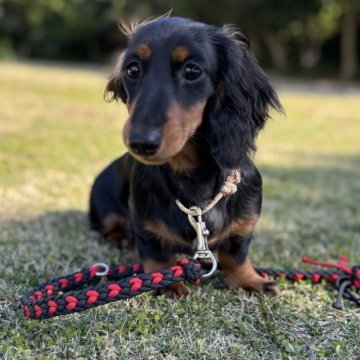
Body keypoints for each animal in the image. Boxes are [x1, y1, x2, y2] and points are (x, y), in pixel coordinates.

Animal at [88, 15, 282, 296]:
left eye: (192, 71)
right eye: (132, 69)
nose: (140, 143)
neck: (190, 174)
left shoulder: (245, 220)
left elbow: (237, 255)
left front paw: (250, 280)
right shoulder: (144, 224)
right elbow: (156, 254)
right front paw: (166, 283)